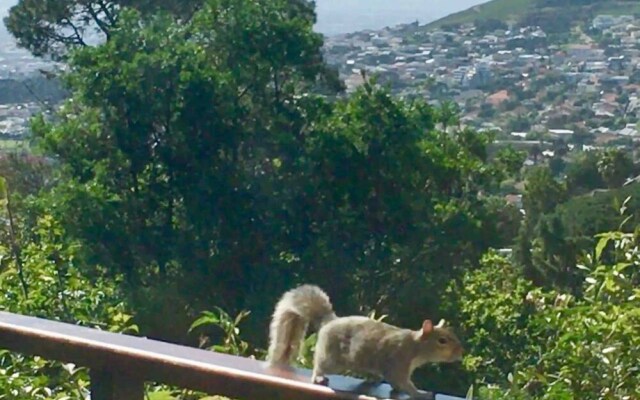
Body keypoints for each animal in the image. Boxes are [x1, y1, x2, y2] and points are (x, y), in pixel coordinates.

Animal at [266, 282, 464, 398]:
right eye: (442, 340)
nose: (460, 352)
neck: (415, 347)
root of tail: (330, 321)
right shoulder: (398, 362)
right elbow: (403, 382)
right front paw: (420, 394)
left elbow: (396, 383)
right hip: (331, 358)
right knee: (320, 365)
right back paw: (319, 377)